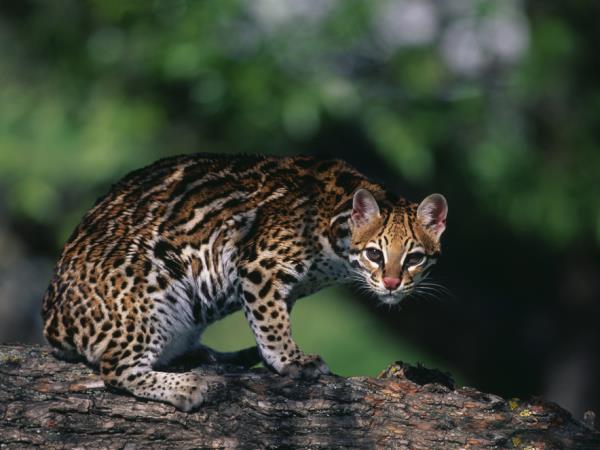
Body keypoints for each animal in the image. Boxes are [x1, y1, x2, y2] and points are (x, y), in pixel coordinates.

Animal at [43, 155, 446, 412]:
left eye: (414, 258)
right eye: (375, 254)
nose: (392, 283)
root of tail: (53, 322)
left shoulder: (288, 287)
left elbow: (271, 318)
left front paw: (273, 358)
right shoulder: (259, 264)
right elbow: (271, 322)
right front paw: (291, 359)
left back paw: (216, 356)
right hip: (151, 287)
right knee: (115, 369)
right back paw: (187, 385)